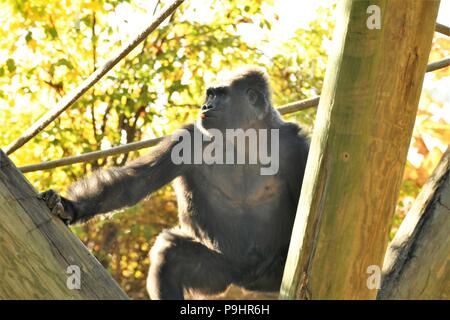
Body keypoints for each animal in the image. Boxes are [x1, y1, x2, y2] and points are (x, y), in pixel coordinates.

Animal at [39, 66, 310, 298]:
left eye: (220, 95)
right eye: (210, 93)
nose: (206, 105)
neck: (246, 136)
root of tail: (246, 281)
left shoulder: (297, 145)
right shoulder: (189, 138)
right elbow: (134, 184)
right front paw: (69, 206)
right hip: (222, 273)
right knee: (171, 255)